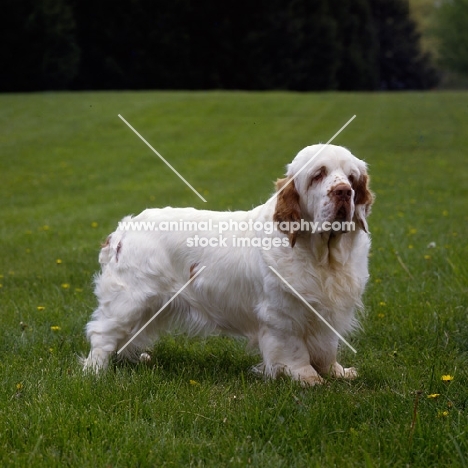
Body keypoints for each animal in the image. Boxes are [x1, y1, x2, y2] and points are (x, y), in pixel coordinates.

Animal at [81, 145, 372, 384]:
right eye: (318, 175)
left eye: (352, 178)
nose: (344, 192)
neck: (321, 255)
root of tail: (124, 228)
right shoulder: (281, 314)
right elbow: (294, 350)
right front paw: (308, 379)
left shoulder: (329, 309)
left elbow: (328, 347)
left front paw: (337, 372)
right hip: (129, 301)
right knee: (102, 335)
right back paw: (95, 372)